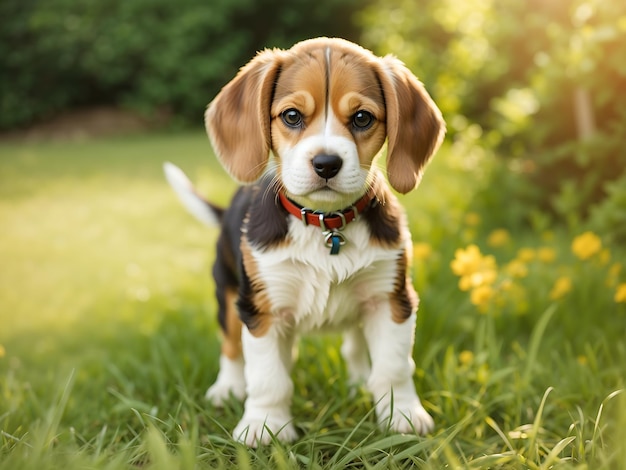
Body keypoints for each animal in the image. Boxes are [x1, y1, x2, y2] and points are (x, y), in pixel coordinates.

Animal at [162, 35, 444, 444]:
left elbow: (393, 367)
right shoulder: (262, 309)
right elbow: (268, 378)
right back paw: (227, 388)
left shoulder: (391, 299)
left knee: (354, 345)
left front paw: (401, 415)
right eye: (292, 116)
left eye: (362, 118)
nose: (326, 164)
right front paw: (264, 425)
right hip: (228, 291)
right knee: (231, 346)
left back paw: (358, 382)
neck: (326, 225)